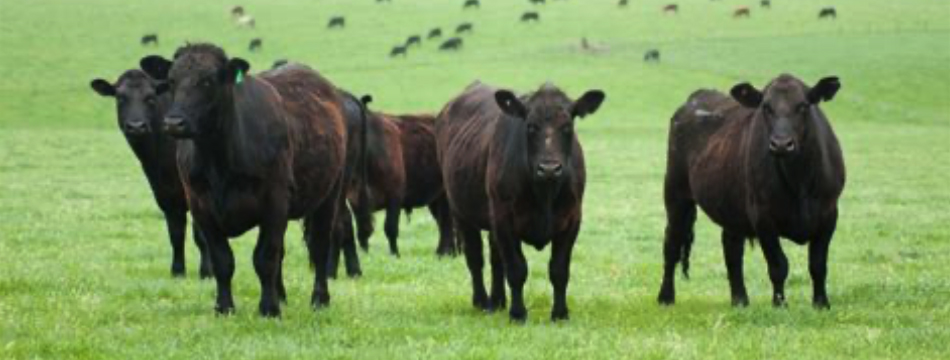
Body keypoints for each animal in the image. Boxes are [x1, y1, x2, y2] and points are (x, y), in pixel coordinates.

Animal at [89, 69, 210, 278]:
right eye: (120, 98)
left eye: (151, 98)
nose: (136, 126)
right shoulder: (164, 193)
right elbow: (175, 233)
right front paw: (178, 271)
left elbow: (200, 234)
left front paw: (207, 273)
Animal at [143, 43, 356, 316]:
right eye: (171, 80)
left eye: (207, 81)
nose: (174, 123)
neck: (218, 161)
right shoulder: (201, 206)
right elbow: (222, 260)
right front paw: (224, 307)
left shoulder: (275, 201)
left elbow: (265, 258)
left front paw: (268, 308)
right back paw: (282, 296)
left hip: (330, 194)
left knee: (319, 247)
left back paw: (319, 299)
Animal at [440, 82, 608, 324]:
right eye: (530, 126)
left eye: (567, 126)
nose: (549, 168)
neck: (544, 194)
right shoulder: (504, 219)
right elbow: (517, 269)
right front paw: (518, 314)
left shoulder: (572, 219)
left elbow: (559, 270)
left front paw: (560, 314)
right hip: (461, 212)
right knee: (475, 258)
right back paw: (482, 301)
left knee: (495, 259)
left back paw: (498, 301)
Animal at [660, 74, 848, 310]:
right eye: (766, 107)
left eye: (803, 106)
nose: (781, 144)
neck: (799, 182)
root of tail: (696, 97)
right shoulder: (763, 217)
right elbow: (778, 265)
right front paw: (779, 305)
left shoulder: (829, 214)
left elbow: (818, 264)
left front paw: (821, 304)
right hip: (676, 193)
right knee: (672, 243)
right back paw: (666, 297)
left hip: (730, 206)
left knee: (731, 248)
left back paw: (740, 300)